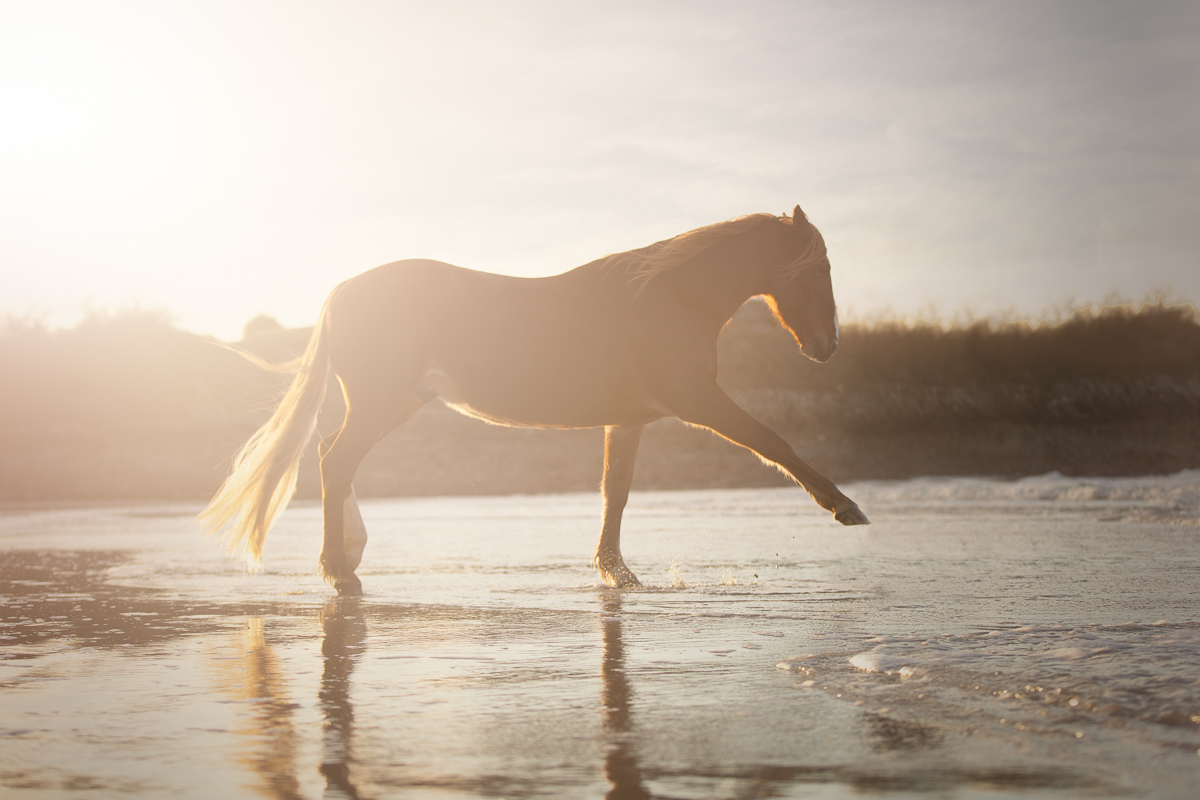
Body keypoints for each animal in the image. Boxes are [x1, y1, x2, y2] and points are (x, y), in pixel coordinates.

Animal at [199, 205, 869, 595]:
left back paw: (349, 557)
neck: (667, 297)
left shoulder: (629, 420)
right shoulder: (697, 400)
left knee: (328, 455)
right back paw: (338, 570)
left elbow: (615, 492)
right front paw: (845, 508)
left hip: (396, 403)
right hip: (381, 402)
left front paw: (615, 571)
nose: (828, 346)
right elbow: (774, 442)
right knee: (335, 462)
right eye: (820, 269)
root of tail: (341, 290)